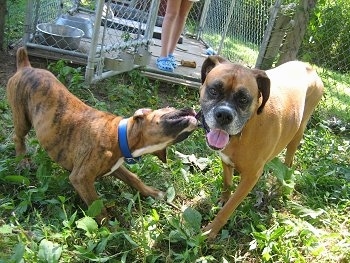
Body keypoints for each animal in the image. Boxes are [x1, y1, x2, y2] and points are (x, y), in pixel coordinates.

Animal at [6, 47, 198, 223]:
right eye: (170, 108)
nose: (192, 109)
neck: (120, 135)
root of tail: (26, 67)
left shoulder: (115, 166)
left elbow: (133, 178)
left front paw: (151, 192)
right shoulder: (81, 179)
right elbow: (98, 207)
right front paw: (112, 229)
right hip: (22, 118)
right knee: (18, 137)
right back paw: (22, 160)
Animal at [198, 55, 324, 239]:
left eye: (243, 99)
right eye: (214, 90)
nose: (224, 115)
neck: (244, 130)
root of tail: (308, 67)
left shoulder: (250, 177)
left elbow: (229, 208)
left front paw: (211, 230)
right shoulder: (226, 162)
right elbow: (227, 184)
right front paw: (223, 199)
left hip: (297, 133)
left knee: (289, 162)